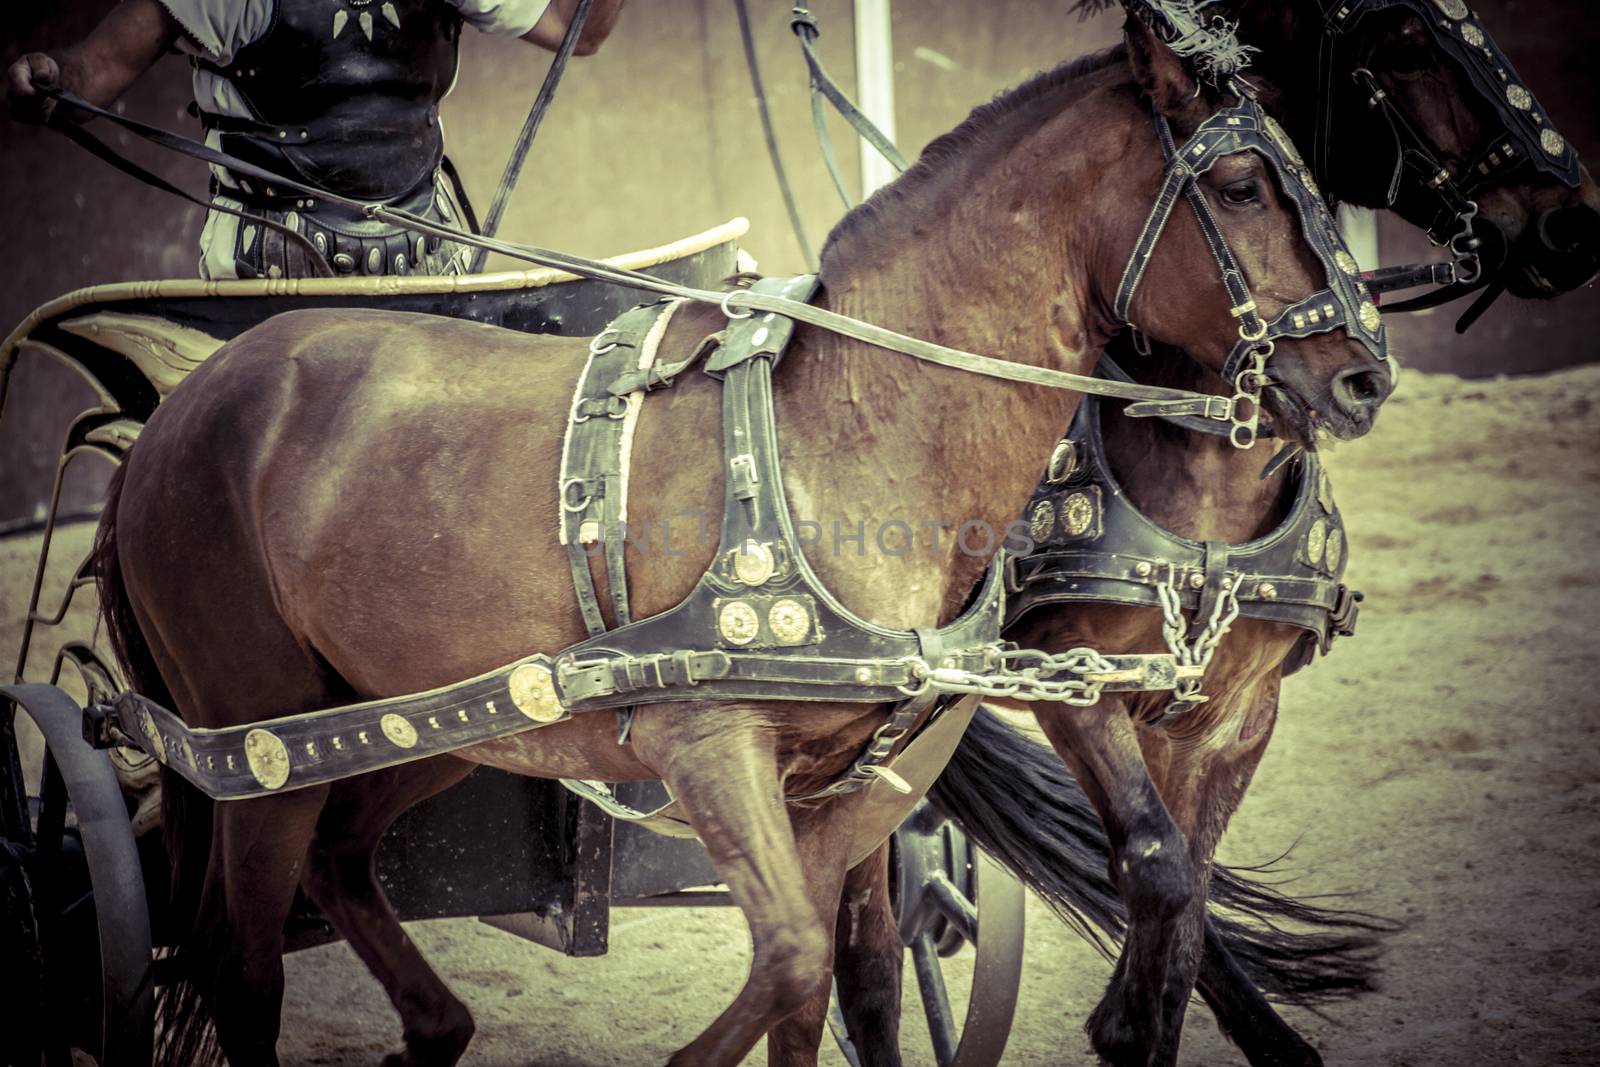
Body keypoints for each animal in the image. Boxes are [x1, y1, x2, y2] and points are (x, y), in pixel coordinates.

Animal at [93, 20, 1382, 1067]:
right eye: (1241, 184)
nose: (1365, 375)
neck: (850, 426)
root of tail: (180, 407)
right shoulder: (710, 742)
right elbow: (799, 958)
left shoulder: (854, 779)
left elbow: (825, 983)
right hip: (253, 739)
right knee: (240, 958)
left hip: (431, 721)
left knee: (342, 861)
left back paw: (434, 1027)